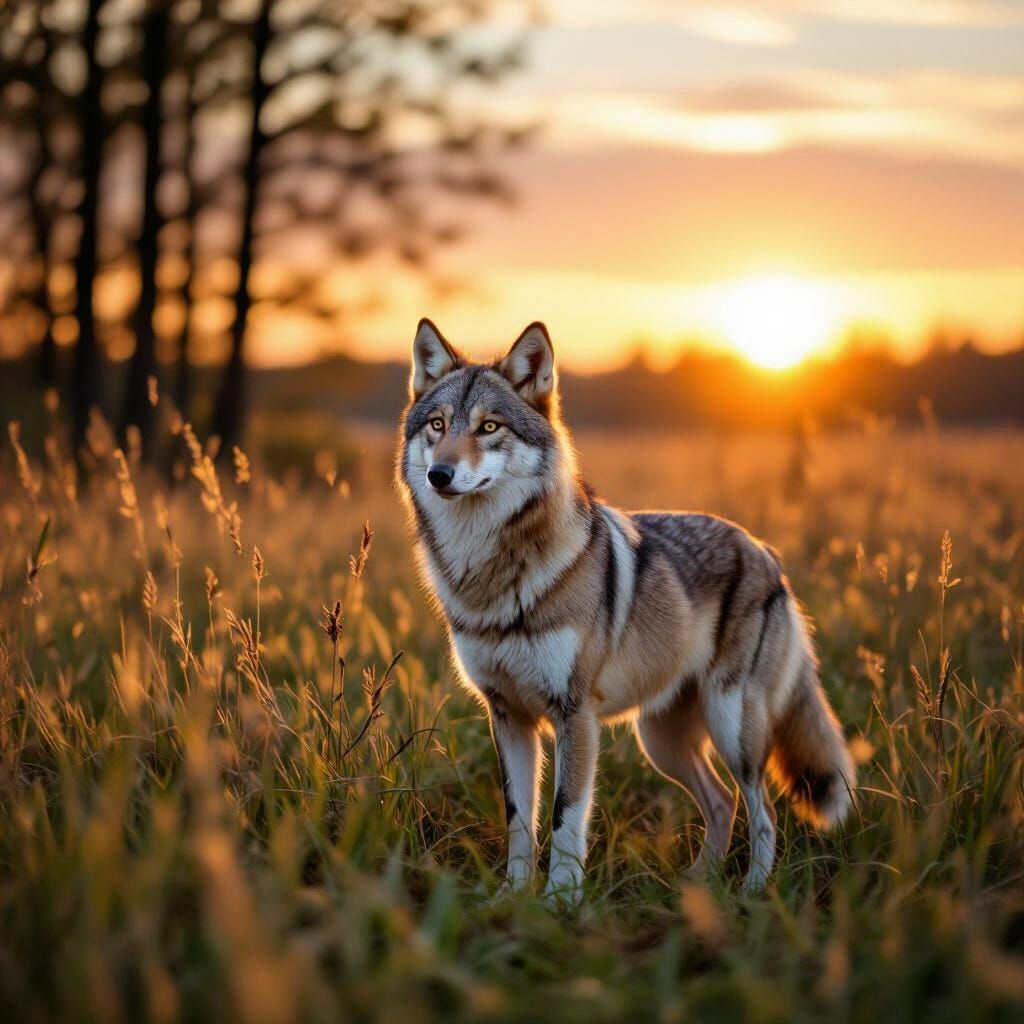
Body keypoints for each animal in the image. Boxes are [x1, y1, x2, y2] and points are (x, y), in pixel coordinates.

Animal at [396, 319, 856, 902]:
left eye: (488, 427)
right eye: (437, 425)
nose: (440, 474)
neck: (492, 575)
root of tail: (764, 550)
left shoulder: (574, 715)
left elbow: (565, 818)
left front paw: (560, 902)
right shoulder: (507, 715)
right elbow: (520, 819)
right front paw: (513, 898)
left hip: (733, 728)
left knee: (763, 810)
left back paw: (751, 892)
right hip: (661, 741)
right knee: (723, 803)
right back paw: (697, 886)